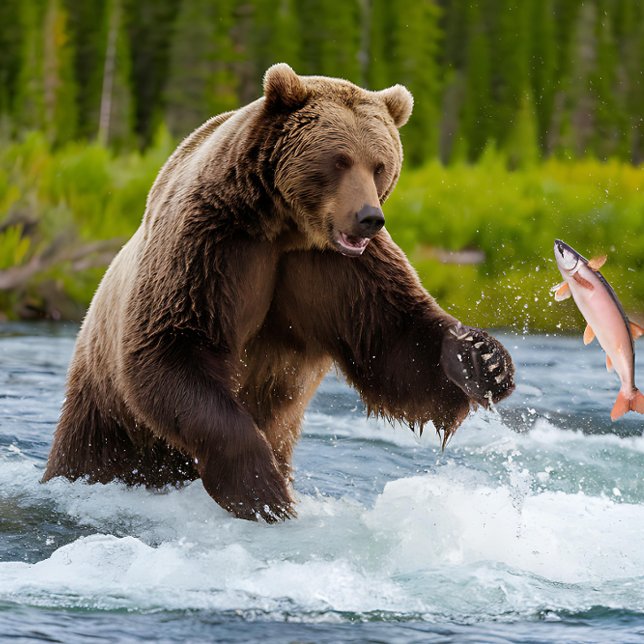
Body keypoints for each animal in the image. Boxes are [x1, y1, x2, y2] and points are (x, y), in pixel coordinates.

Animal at [43, 64, 515, 522]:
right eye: (340, 160)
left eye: (380, 164)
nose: (369, 218)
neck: (286, 226)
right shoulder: (210, 246)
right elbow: (173, 345)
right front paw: (260, 489)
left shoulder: (337, 272)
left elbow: (392, 341)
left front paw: (484, 358)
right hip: (105, 411)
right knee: (96, 450)